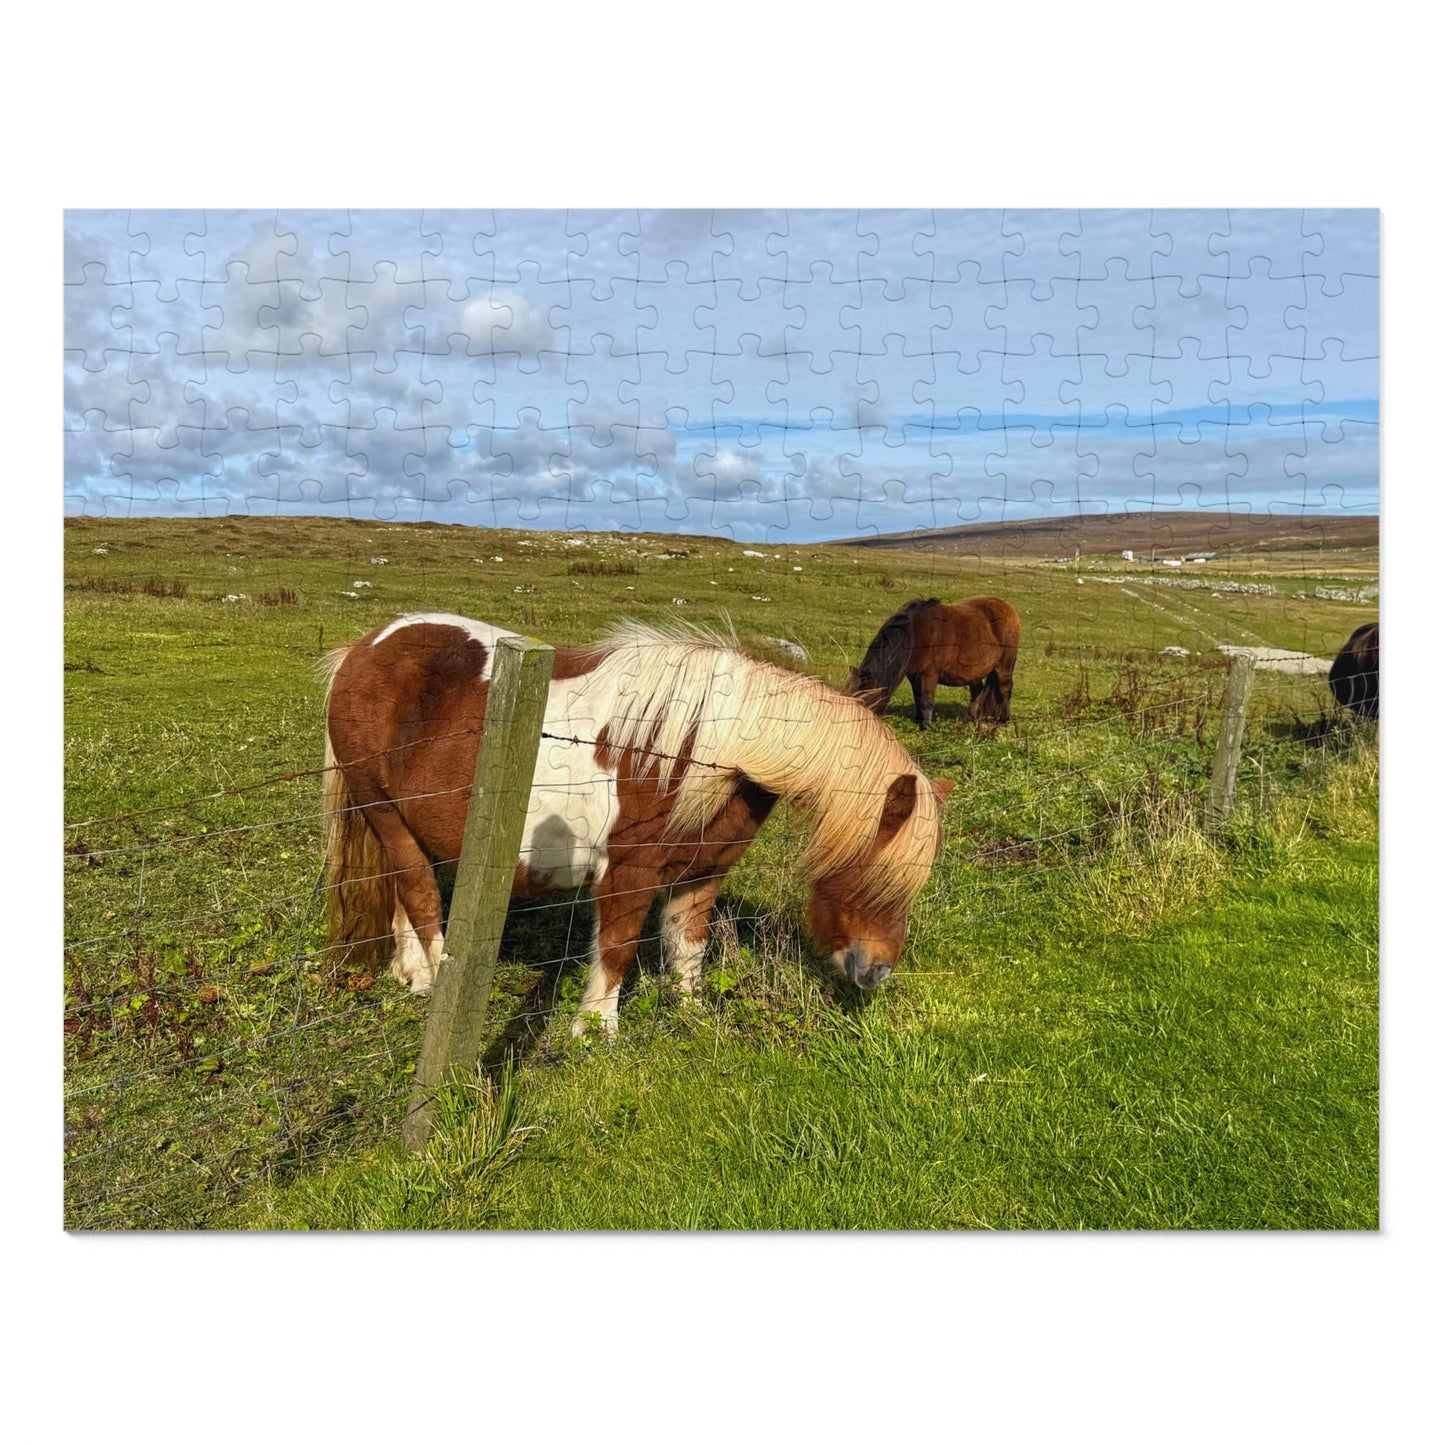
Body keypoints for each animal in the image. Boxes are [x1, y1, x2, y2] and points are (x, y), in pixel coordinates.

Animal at [320, 612, 956, 1037]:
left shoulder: (702, 874)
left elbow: (688, 949)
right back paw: (432, 982)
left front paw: (691, 1014)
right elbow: (618, 950)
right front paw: (595, 1035)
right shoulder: (628, 874)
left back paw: (410, 974)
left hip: (403, 825)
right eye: (869, 871)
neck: (715, 749)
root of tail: (365, 647)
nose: (876, 973)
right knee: (422, 897)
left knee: (402, 894)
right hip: (384, 813)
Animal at [845, 596, 1020, 730]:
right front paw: (919, 721)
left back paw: (1004, 721)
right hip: (974, 672)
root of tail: (1008, 608)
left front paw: (927, 727)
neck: (915, 634)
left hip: (1004, 666)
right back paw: (970, 719)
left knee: (1005, 690)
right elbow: (918, 698)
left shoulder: (929, 675)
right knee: (977, 691)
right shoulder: (914, 676)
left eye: (865, 698)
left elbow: (927, 701)